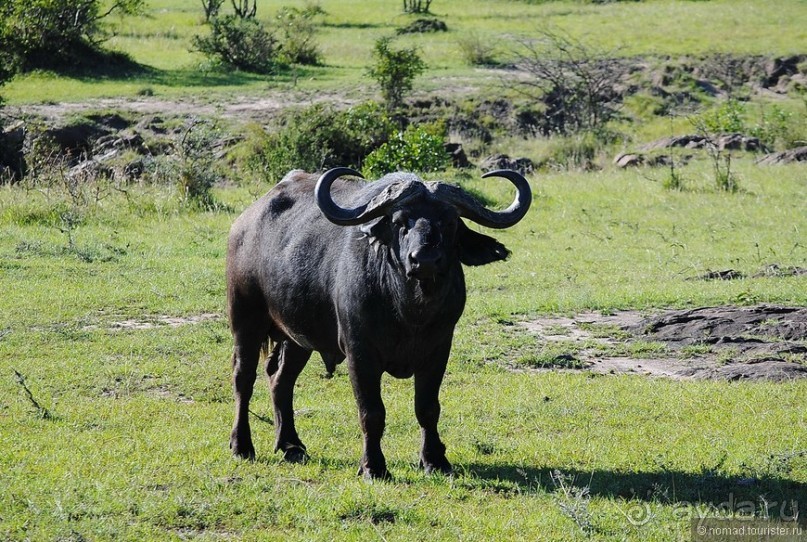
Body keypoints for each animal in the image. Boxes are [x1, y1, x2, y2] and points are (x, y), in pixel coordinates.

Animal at [227, 167, 532, 480]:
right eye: (400, 221)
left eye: (449, 221)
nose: (425, 260)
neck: (410, 311)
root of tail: (246, 221)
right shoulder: (360, 353)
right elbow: (372, 412)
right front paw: (373, 466)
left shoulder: (438, 350)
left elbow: (428, 408)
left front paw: (434, 460)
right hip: (245, 320)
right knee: (243, 379)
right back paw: (242, 446)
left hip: (297, 338)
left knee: (281, 380)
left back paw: (291, 445)